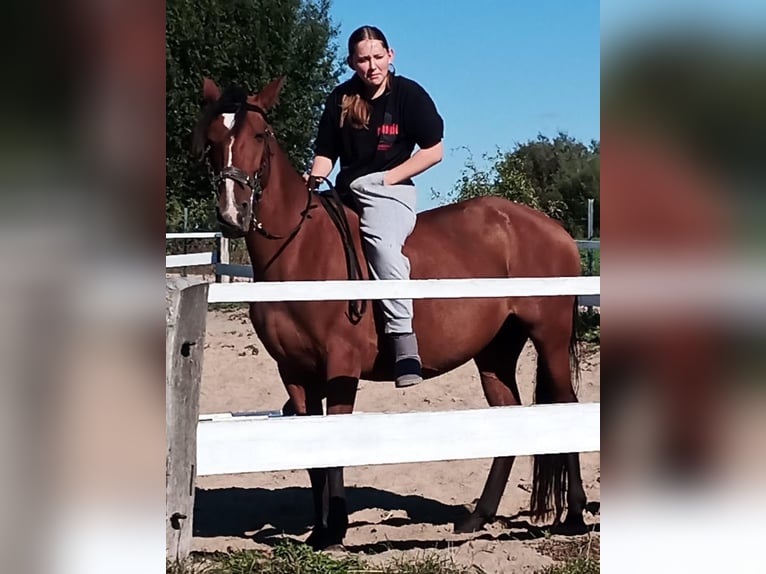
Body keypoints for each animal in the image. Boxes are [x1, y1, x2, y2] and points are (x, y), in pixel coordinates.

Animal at [192, 77, 589, 550]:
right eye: (212, 139)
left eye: (258, 135)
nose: (233, 214)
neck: (299, 252)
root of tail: (554, 229)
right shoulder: (293, 372)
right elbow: (311, 451)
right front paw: (320, 531)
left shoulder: (340, 367)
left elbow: (335, 444)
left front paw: (335, 529)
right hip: (495, 350)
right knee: (508, 416)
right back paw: (477, 517)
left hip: (549, 337)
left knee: (567, 407)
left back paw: (575, 516)